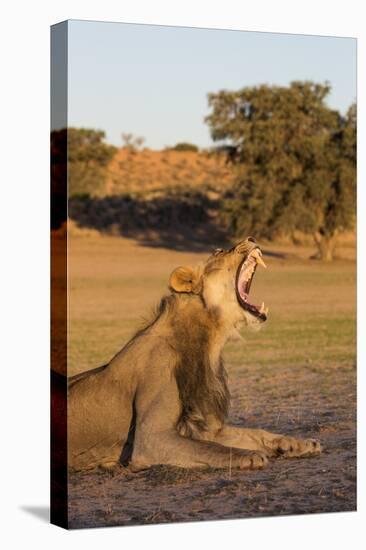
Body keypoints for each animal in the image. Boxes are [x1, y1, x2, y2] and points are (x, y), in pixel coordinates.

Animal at [67, 237, 322, 474]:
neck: (210, 342)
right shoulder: (151, 439)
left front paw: (297, 443)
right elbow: (213, 448)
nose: (251, 238)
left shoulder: (205, 427)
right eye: (220, 252)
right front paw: (250, 455)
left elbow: (253, 433)